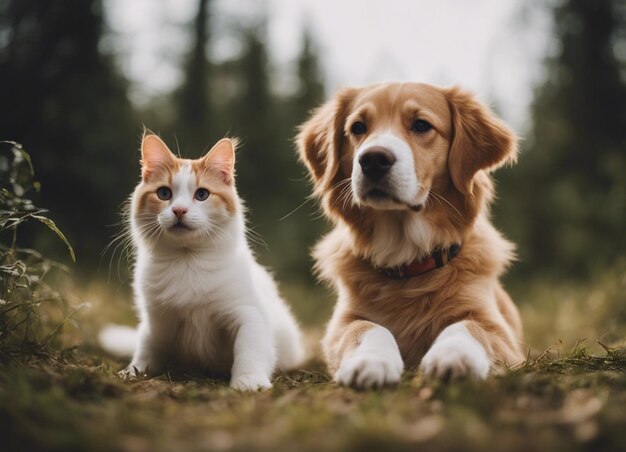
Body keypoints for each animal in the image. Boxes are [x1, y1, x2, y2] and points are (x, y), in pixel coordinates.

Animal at [99, 132, 304, 390]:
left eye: (202, 195)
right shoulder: (157, 321)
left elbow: (249, 352)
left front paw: (248, 381)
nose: (179, 210)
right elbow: (147, 349)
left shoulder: (249, 314)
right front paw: (134, 372)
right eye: (164, 194)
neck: (187, 260)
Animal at [296, 82, 520, 388]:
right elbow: (366, 327)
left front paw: (453, 356)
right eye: (358, 127)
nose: (373, 160)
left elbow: (468, 326)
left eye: (421, 125)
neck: (405, 258)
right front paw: (371, 361)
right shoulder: (341, 325)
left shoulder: (501, 334)